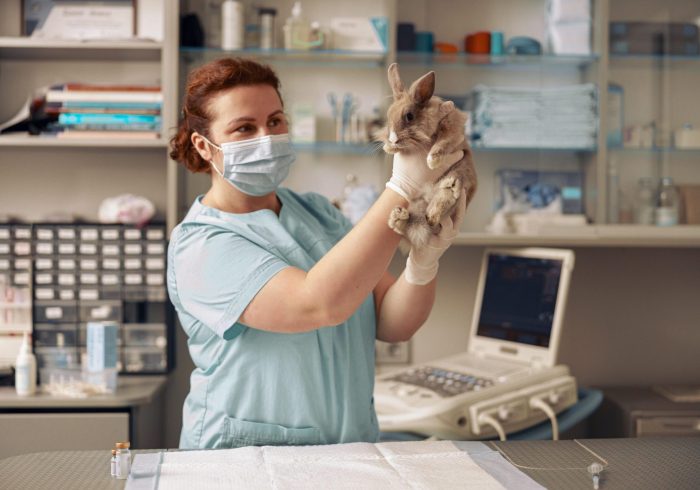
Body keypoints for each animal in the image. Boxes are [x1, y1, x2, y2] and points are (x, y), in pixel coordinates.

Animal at [380, 62, 478, 249]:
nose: (393, 139)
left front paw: (433, 161)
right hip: (417, 207)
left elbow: (444, 142)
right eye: (388, 118)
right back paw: (398, 217)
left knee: (443, 200)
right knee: (410, 226)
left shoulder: (452, 129)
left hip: (461, 174)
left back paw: (443, 196)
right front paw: (389, 148)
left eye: (409, 116)